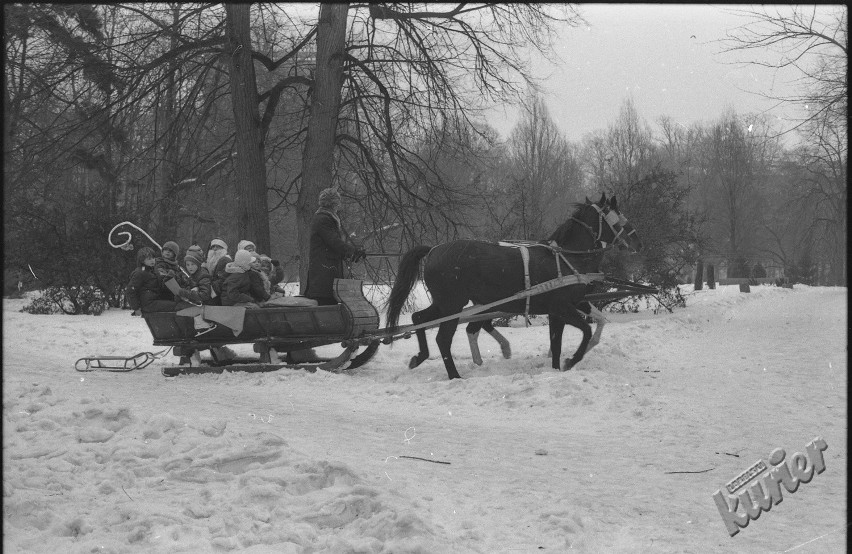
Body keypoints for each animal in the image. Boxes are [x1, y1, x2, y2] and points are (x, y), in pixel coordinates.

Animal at [384, 192, 640, 378]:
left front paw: (557, 367)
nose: (636, 239)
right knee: (442, 339)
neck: (565, 258)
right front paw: (571, 361)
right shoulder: (562, 308)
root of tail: (433, 250)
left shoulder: (565, 308)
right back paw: (454, 375)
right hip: (452, 305)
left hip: (445, 304)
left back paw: (420, 356)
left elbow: (562, 341)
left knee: (419, 318)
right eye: (618, 216)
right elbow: (585, 331)